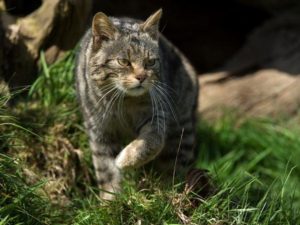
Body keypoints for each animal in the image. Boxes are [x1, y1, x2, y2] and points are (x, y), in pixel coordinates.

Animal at [74, 8, 199, 200]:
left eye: (151, 62)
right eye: (124, 62)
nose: (142, 77)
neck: (124, 103)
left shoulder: (157, 115)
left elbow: (151, 142)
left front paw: (125, 160)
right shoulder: (99, 130)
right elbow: (106, 170)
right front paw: (110, 201)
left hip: (181, 130)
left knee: (175, 167)